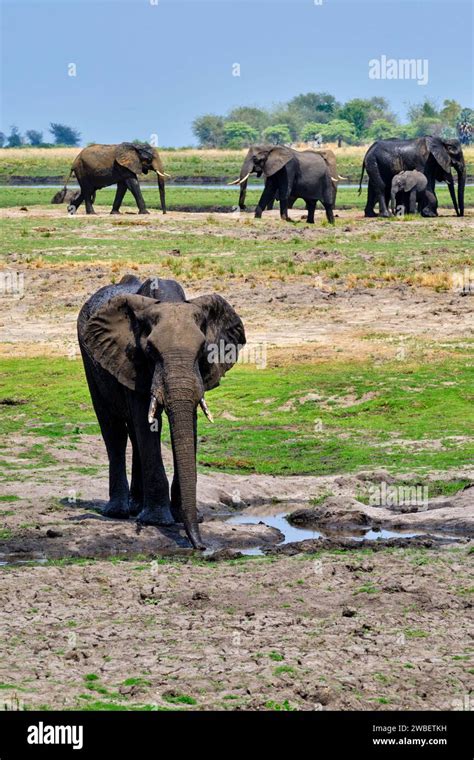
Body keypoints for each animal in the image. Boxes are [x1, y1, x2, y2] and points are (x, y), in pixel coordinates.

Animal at [76, 276, 246, 548]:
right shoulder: (132, 361)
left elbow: (187, 421)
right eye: (150, 351)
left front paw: (181, 516)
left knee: (133, 436)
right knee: (114, 430)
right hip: (90, 359)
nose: (201, 547)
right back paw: (118, 512)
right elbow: (146, 424)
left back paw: (136, 507)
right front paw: (158, 522)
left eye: (202, 350)